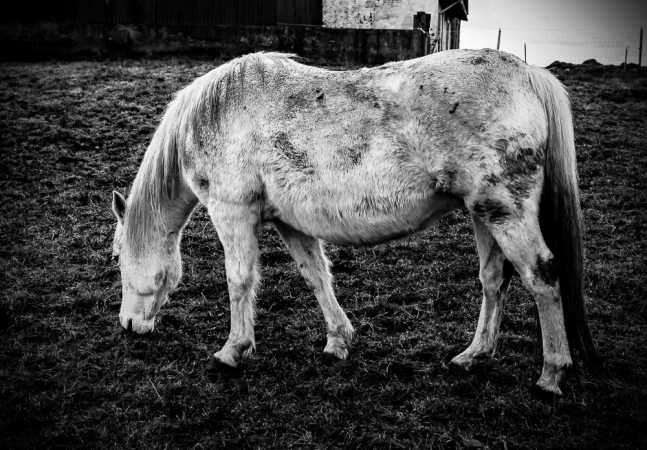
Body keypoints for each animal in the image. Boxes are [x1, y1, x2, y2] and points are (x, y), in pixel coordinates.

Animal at [111, 49, 599, 396]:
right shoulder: (291, 223)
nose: (129, 325)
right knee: (494, 280)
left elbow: (239, 280)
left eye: (117, 259)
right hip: (485, 213)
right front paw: (338, 341)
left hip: (506, 210)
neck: (218, 113)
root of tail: (528, 75)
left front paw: (232, 351)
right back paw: (473, 355)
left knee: (542, 276)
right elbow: (316, 277)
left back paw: (552, 374)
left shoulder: (232, 211)